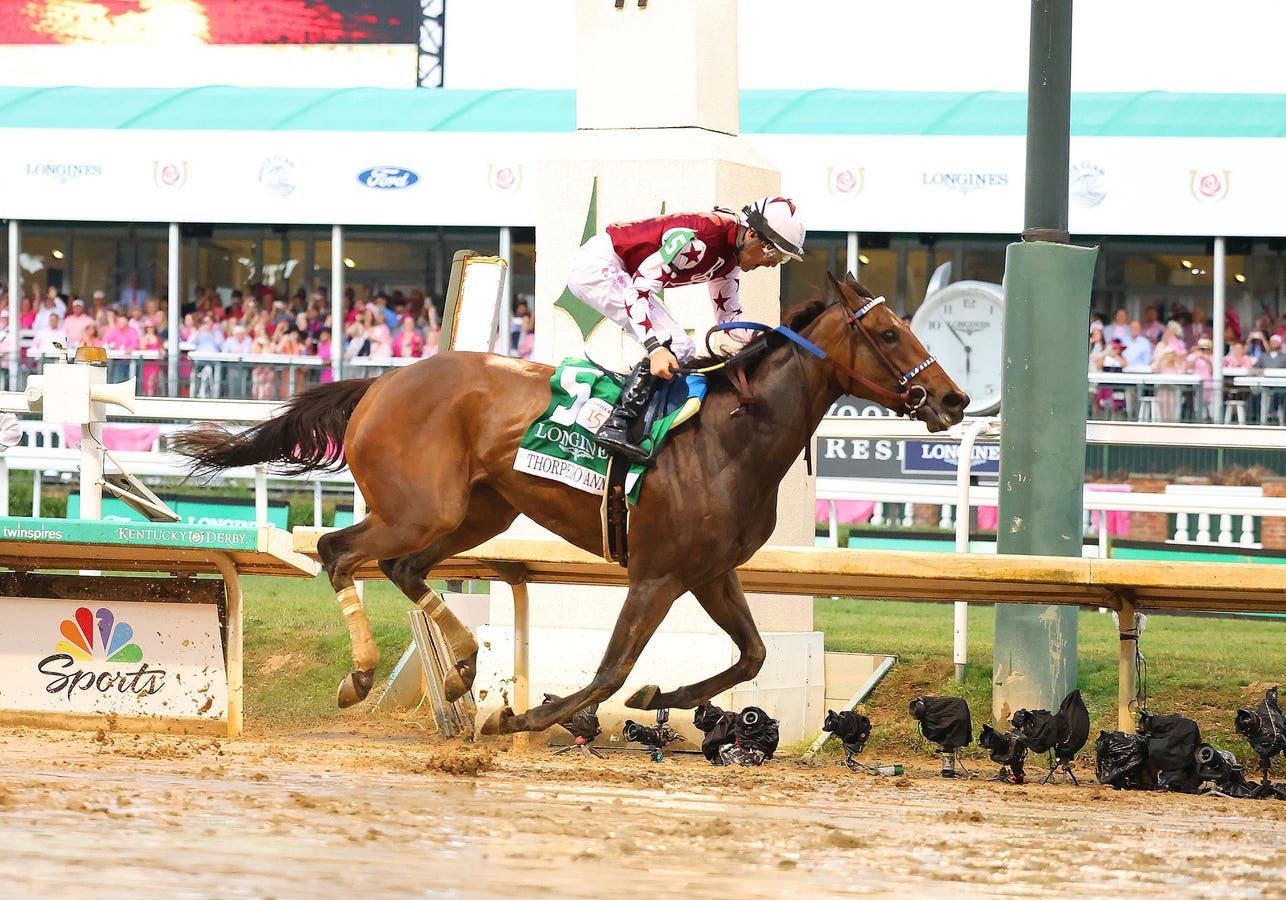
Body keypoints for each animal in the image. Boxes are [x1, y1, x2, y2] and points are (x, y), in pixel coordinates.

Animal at [176, 276, 967, 740]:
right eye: (889, 333)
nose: (955, 399)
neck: (735, 434)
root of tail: (381, 383)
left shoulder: (712, 572)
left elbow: (751, 655)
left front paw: (659, 694)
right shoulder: (658, 574)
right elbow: (612, 668)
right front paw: (526, 715)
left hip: (476, 513)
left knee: (401, 567)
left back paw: (460, 668)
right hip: (420, 510)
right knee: (339, 552)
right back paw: (363, 676)